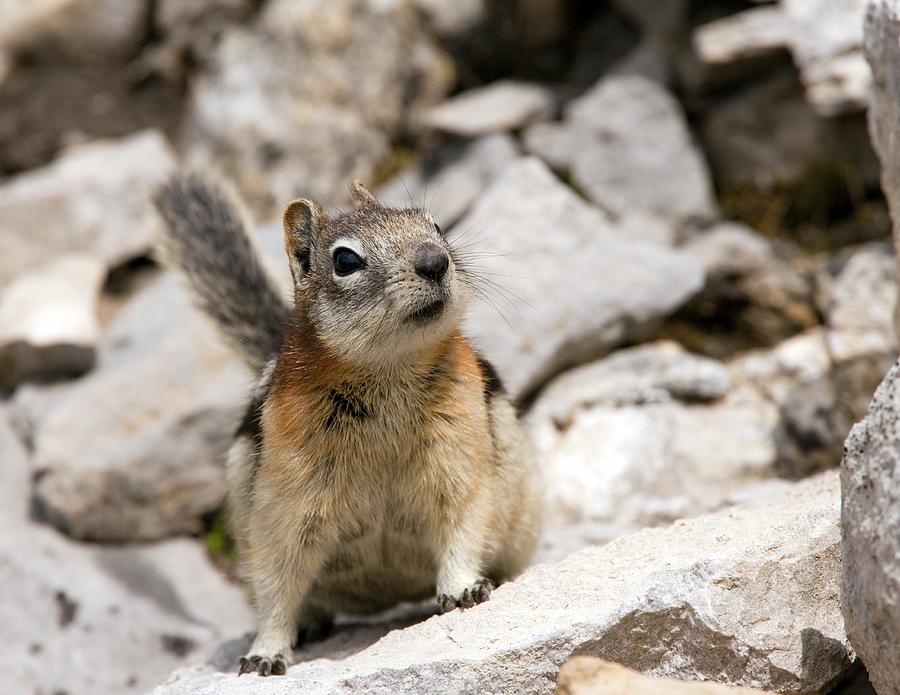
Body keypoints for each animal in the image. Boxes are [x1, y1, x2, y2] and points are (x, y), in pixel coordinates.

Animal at [155, 177, 540, 676]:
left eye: (436, 226)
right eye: (346, 261)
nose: (434, 261)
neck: (387, 371)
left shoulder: (460, 453)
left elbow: (464, 522)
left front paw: (463, 588)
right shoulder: (284, 498)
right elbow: (276, 577)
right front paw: (266, 651)